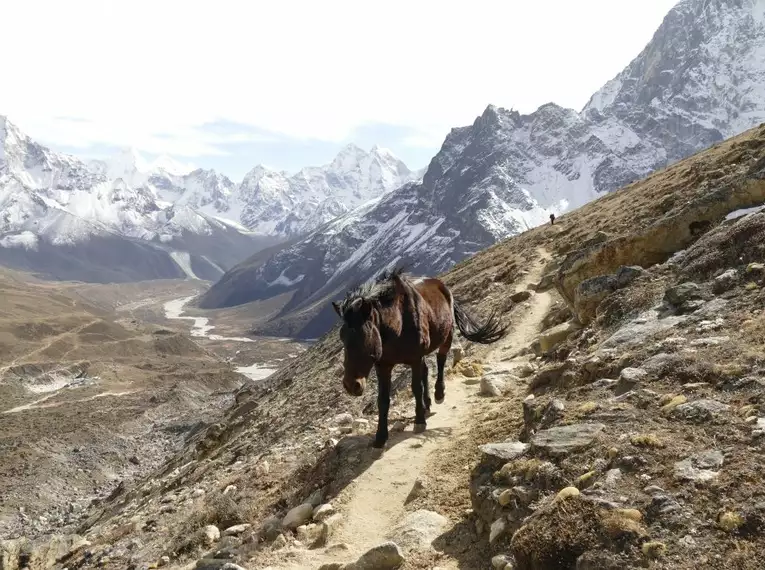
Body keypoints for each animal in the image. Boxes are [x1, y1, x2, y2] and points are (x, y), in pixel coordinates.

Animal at [330, 268, 504, 448]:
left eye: (363, 335)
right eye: (342, 337)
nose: (351, 385)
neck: (398, 324)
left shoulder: (414, 359)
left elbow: (416, 388)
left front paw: (419, 421)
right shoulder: (383, 366)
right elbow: (383, 400)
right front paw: (380, 437)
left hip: (446, 336)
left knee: (440, 360)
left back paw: (438, 395)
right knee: (425, 371)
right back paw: (427, 403)